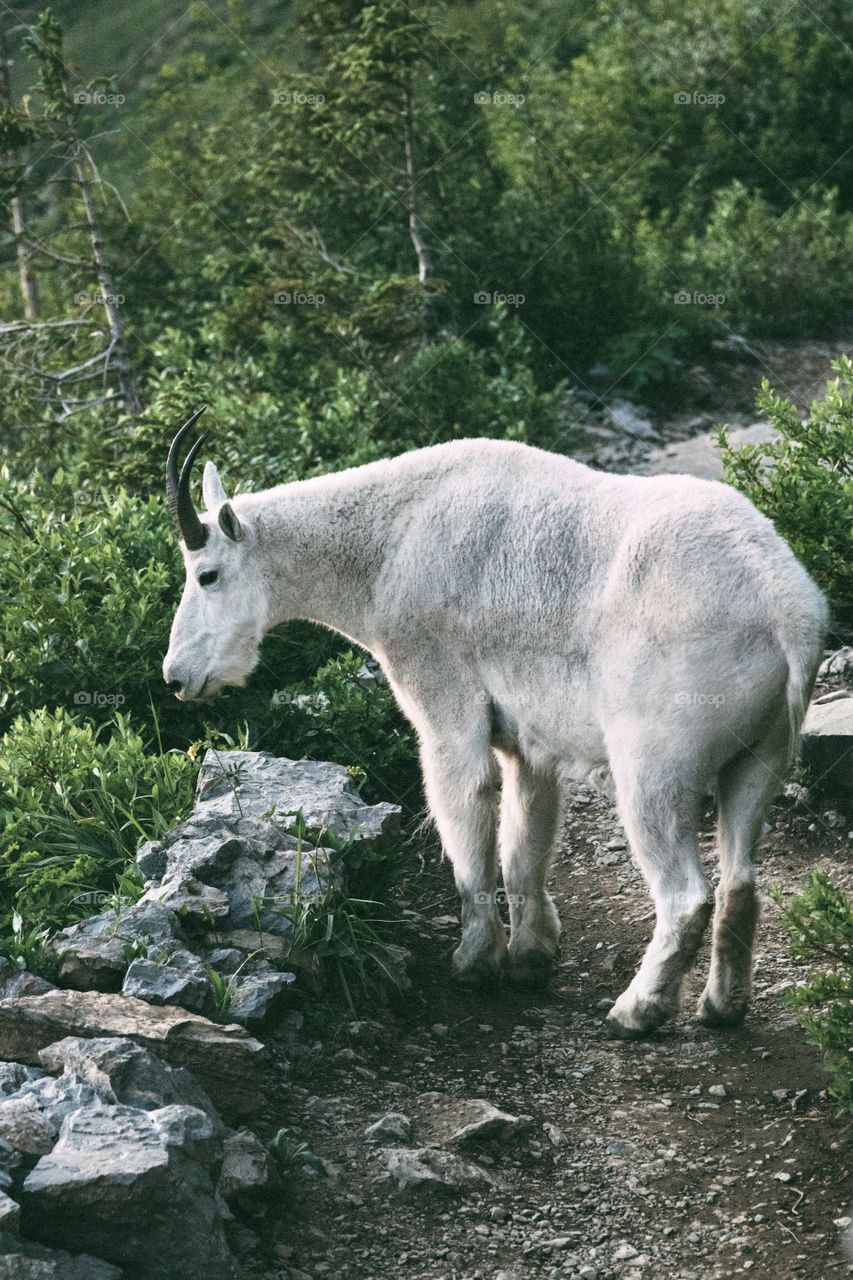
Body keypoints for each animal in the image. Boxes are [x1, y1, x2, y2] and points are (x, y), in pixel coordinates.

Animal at [161, 409, 824, 1039]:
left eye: (206, 574)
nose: (176, 675)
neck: (386, 548)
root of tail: (788, 616)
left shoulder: (441, 694)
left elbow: (467, 810)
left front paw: (475, 961)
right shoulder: (530, 742)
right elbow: (525, 837)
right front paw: (532, 957)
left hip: (657, 761)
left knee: (686, 893)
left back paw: (636, 1010)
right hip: (763, 754)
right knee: (741, 878)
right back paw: (721, 1006)